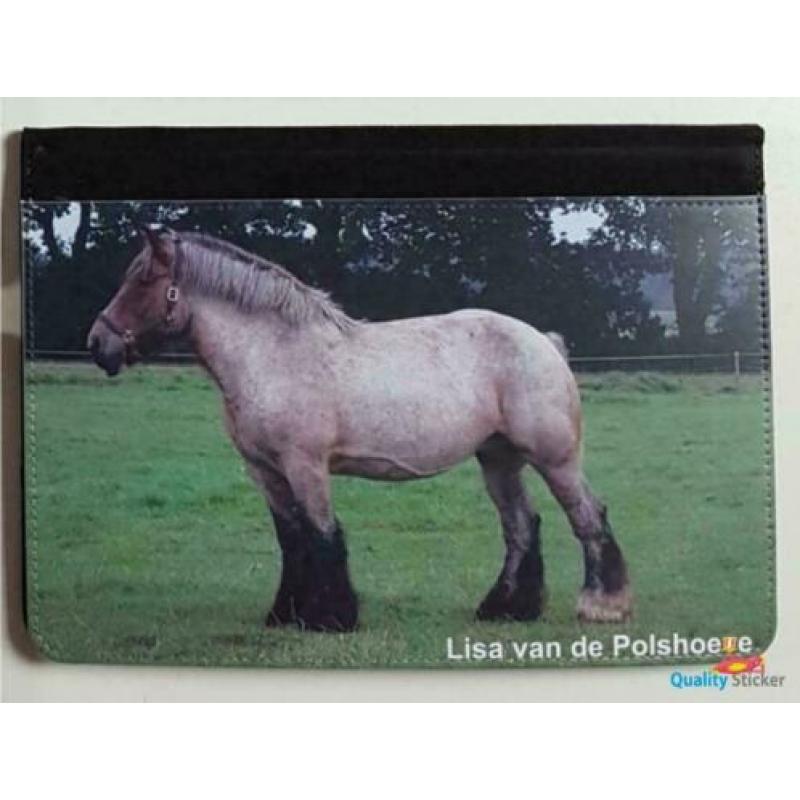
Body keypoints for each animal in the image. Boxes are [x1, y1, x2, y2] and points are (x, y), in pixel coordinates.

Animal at [87, 227, 631, 632]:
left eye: (143, 281)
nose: (97, 344)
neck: (273, 353)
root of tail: (544, 342)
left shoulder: (305, 465)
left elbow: (323, 534)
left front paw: (330, 618)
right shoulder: (265, 471)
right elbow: (292, 540)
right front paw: (283, 615)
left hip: (555, 459)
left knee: (588, 517)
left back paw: (601, 606)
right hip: (499, 459)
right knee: (521, 526)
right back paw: (504, 609)